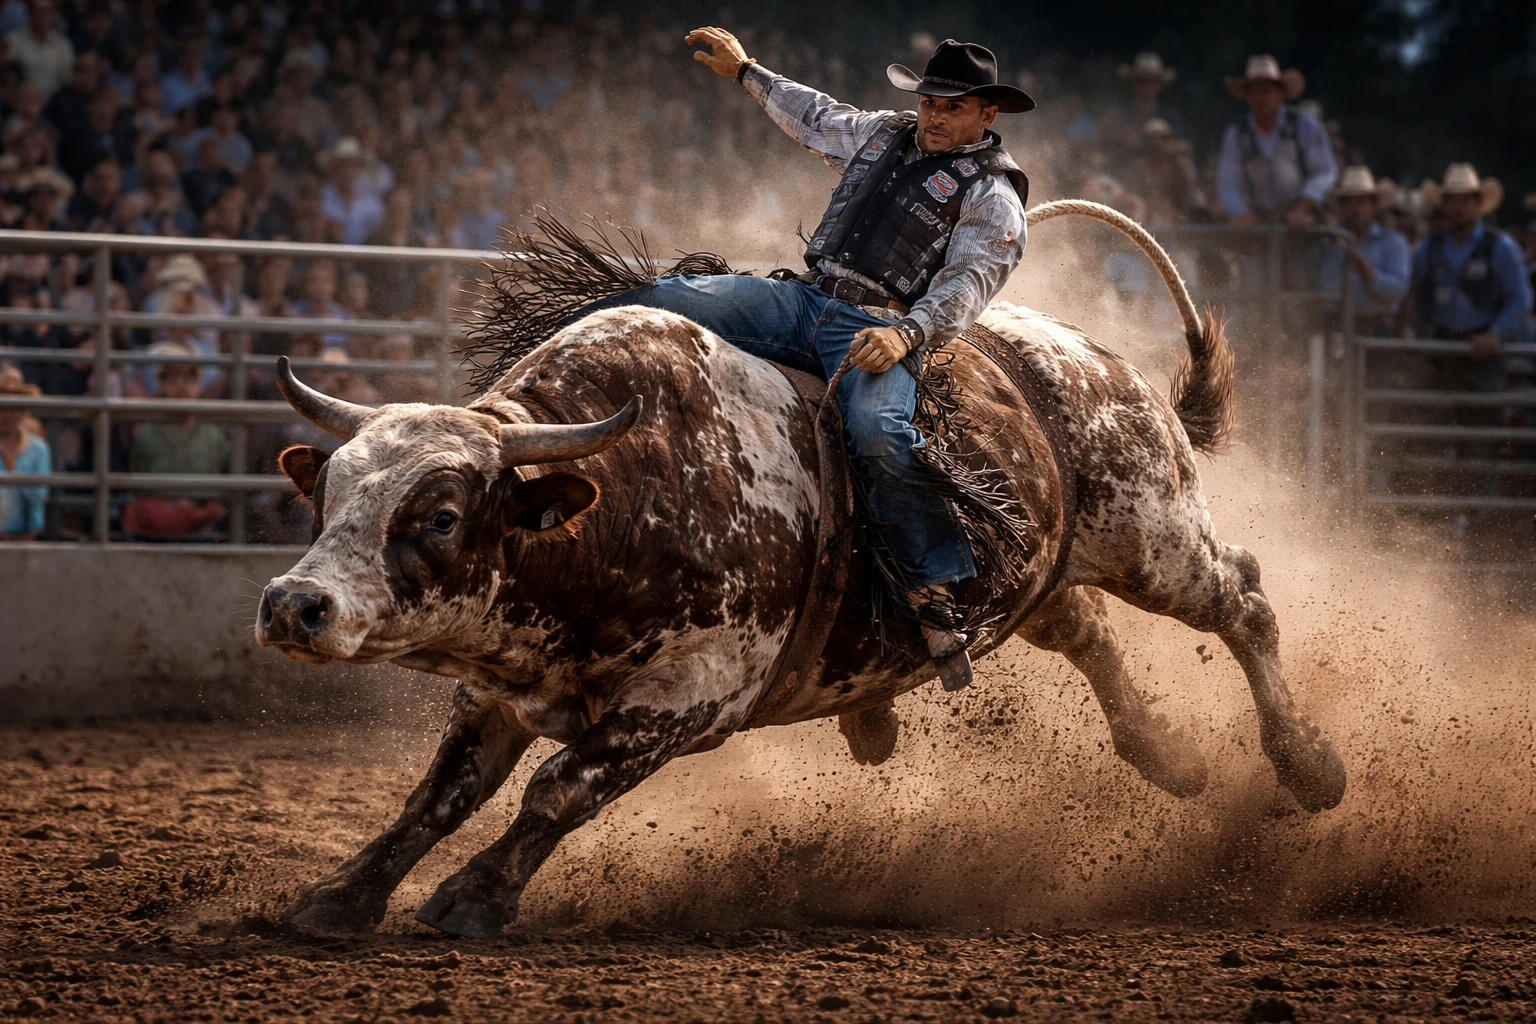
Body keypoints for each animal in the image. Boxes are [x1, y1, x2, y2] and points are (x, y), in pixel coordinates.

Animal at [257, 201, 1346, 938]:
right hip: (1042, 575)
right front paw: (336, 897)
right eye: (329, 492)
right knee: (1084, 629)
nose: (295, 604)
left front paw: (472, 898)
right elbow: (440, 795)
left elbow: (559, 789)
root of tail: (1093, 355)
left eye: (440, 514)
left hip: (1151, 533)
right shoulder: (497, 685)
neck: (631, 492)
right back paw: (1168, 752)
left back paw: (1310, 765)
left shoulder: (693, 695)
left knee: (1244, 600)